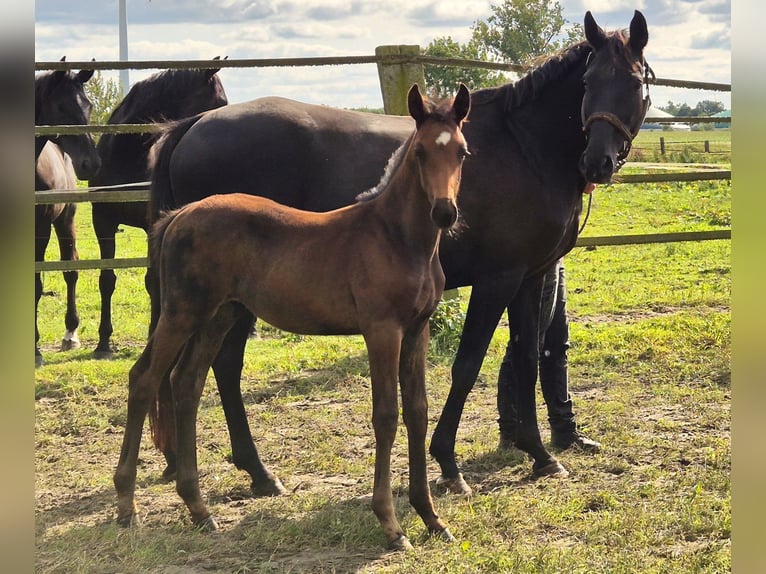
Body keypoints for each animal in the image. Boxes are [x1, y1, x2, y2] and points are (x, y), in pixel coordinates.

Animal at [89, 61, 228, 359]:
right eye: (220, 101)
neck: (127, 156)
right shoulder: (102, 221)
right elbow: (107, 279)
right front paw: (103, 343)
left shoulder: (151, 224)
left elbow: (153, 281)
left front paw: (153, 333)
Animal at [114, 84, 471, 550]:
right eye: (421, 152)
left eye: (462, 152)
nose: (445, 213)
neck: (395, 237)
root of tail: (178, 217)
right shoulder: (381, 330)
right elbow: (386, 415)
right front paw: (391, 526)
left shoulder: (417, 329)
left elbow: (417, 412)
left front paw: (431, 518)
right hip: (183, 312)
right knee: (145, 379)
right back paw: (127, 505)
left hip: (219, 314)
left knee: (186, 382)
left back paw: (199, 509)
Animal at [146, 10, 651, 495]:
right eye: (588, 82)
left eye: (635, 83)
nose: (598, 162)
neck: (522, 146)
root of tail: (194, 125)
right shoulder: (498, 279)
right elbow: (468, 365)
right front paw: (447, 462)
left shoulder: (532, 275)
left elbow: (527, 357)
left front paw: (540, 455)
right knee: (222, 368)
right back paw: (256, 470)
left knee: (219, 368)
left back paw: (254, 471)